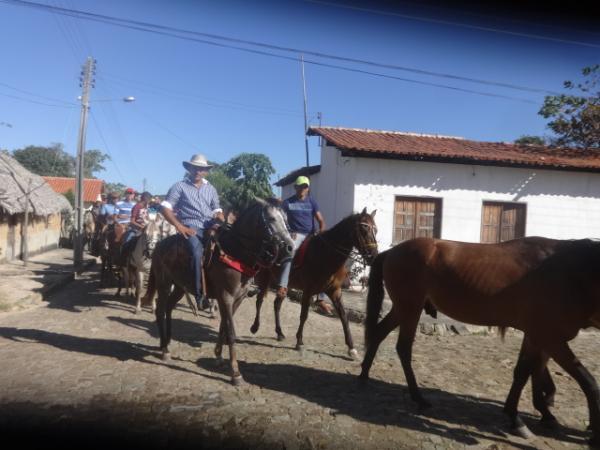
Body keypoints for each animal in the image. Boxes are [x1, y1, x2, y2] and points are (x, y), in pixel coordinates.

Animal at [143, 199, 292, 384]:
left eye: (286, 219)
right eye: (271, 218)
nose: (290, 247)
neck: (235, 253)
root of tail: (158, 246)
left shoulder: (237, 299)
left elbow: (224, 328)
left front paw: (219, 357)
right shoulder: (226, 297)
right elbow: (231, 333)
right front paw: (235, 372)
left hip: (179, 286)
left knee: (169, 307)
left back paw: (167, 342)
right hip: (164, 284)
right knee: (160, 310)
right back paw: (164, 350)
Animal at [251, 207, 378, 358]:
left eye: (375, 230)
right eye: (364, 229)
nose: (373, 256)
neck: (326, 254)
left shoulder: (335, 291)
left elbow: (343, 316)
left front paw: (351, 347)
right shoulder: (308, 291)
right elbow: (304, 315)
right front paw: (299, 342)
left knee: (277, 304)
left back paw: (280, 333)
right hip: (265, 278)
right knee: (259, 300)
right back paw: (255, 327)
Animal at [360, 237, 600, 444]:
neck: (569, 272)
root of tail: (392, 251)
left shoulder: (535, 337)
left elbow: (524, 372)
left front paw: (522, 416)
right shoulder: (550, 338)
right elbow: (588, 382)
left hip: (403, 309)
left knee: (379, 333)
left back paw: (364, 374)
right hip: (410, 308)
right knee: (403, 348)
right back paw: (418, 397)